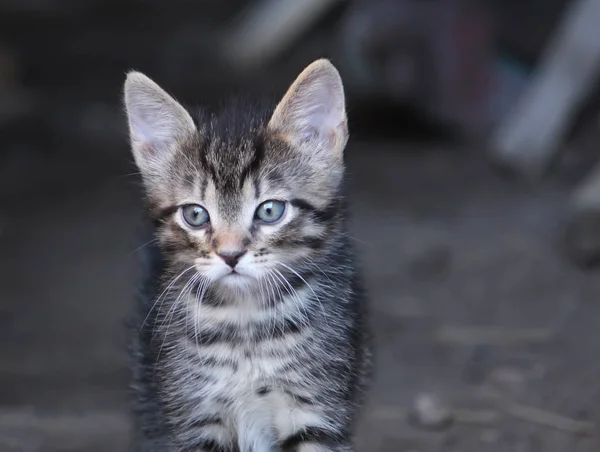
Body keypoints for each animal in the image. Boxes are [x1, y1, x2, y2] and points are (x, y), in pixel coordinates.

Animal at [125, 60, 370, 452]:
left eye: (270, 210)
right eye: (195, 214)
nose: (230, 254)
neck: (247, 326)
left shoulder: (316, 405)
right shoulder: (194, 413)